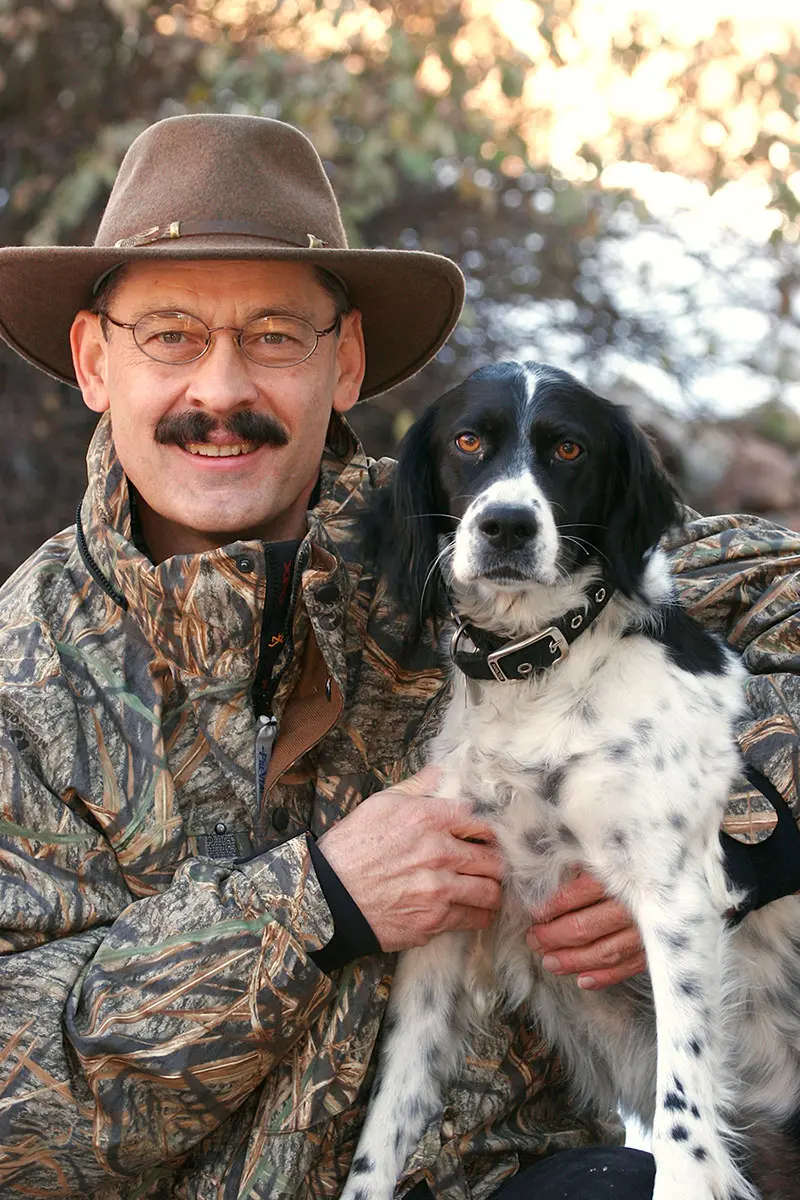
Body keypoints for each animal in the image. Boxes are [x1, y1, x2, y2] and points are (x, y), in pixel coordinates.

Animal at [340, 362, 800, 1200]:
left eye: (567, 449)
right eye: (468, 441)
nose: (507, 527)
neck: (540, 668)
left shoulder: (675, 899)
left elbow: (685, 1108)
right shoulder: (446, 928)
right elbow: (384, 1128)